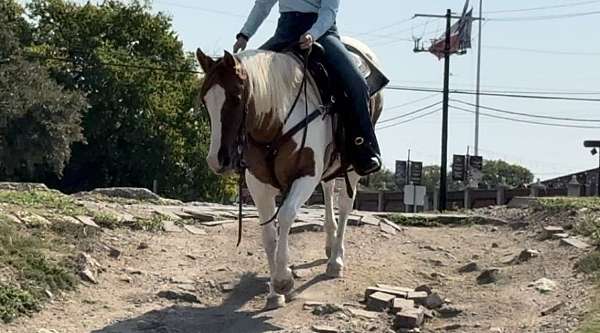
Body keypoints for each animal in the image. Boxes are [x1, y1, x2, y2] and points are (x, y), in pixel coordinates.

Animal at [197, 37, 384, 308]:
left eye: (236, 97)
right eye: (205, 101)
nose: (216, 160)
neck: (277, 119)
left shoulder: (306, 175)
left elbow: (285, 216)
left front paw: (283, 280)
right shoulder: (258, 183)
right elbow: (268, 232)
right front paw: (274, 294)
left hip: (354, 165)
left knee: (345, 205)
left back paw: (336, 260)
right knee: (329, 190)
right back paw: (329, 245)